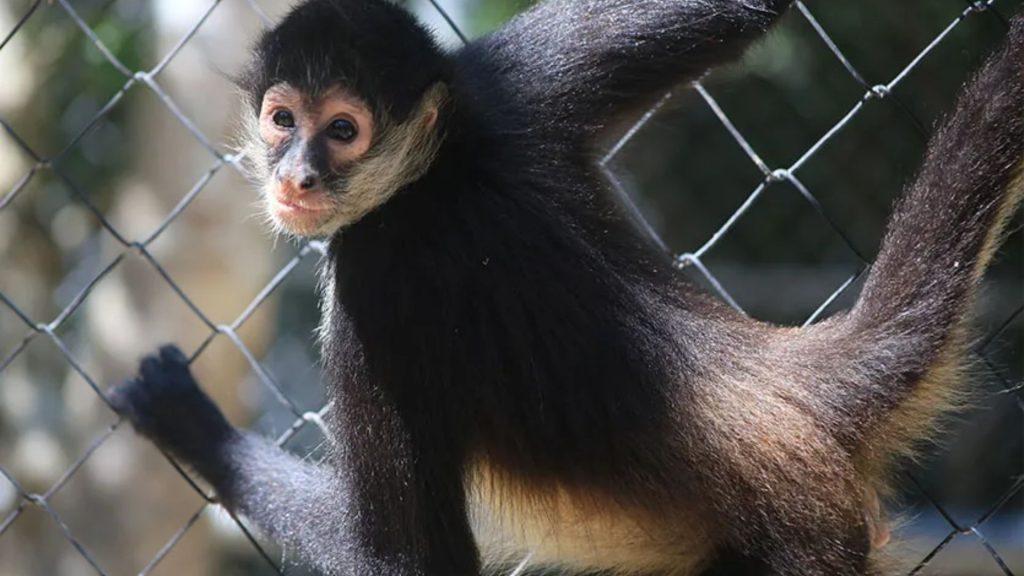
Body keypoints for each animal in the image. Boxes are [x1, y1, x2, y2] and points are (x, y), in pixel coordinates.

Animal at [107, 0, 1024, 574]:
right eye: (283, 118)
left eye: (342, 129)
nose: (296, 174)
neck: (438, 170)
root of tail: (783, 384)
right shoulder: (505, 83)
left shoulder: (376, 275)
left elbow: (415, 564)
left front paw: (194, 430)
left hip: (796, 541)